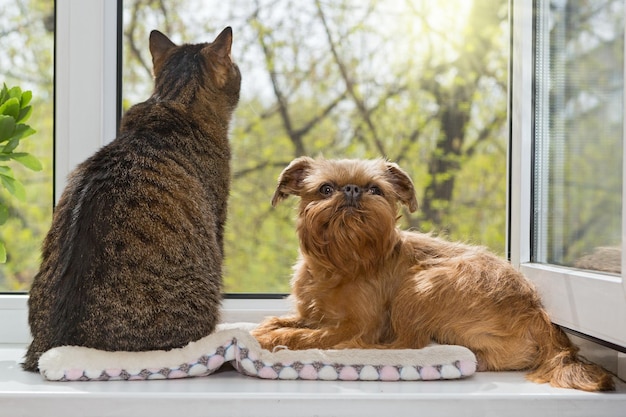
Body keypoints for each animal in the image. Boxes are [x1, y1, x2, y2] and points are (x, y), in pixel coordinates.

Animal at [251, 156, 612, 390]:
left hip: (420, 284)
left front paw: (273, 340)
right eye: (326, 189)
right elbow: (283, 321)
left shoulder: (358, 326)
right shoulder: (311, 315)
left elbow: (307, 335)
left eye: (375, 190)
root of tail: (541, 317)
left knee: (406, 345)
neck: (342, 262)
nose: (352, 189)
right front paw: (266, 329)